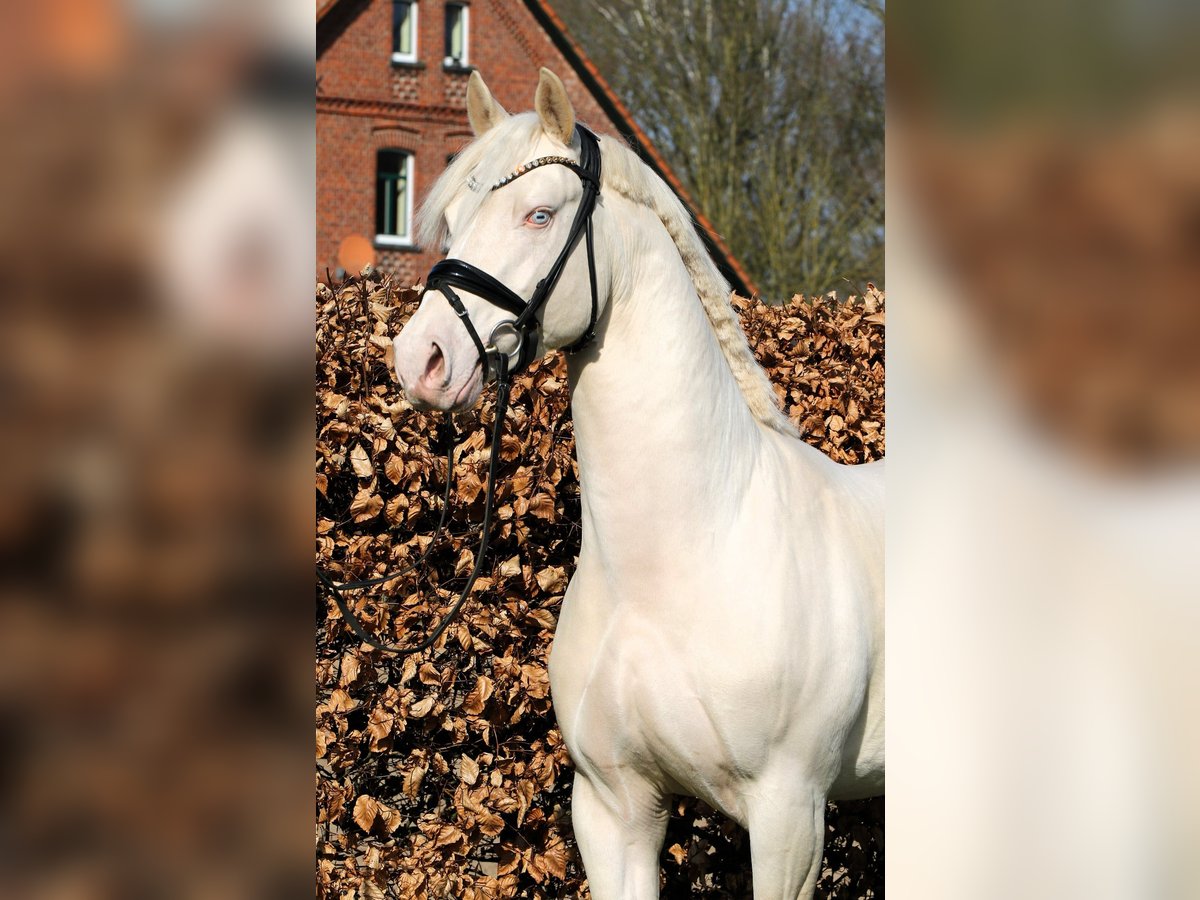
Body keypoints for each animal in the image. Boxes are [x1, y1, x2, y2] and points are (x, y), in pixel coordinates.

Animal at [393, 66, 883, 897]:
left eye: (540, 214)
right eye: (453, 221)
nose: (420, 359)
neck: (678, 565)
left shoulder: (790, 817)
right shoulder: (614, 809)